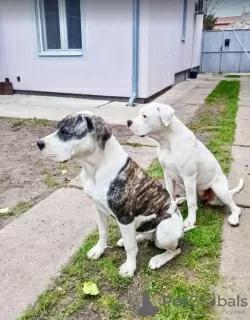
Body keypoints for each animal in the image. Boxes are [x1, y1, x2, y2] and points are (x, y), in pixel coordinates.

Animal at [37, 111, 190, 276]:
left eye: (65, 132)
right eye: (57, 128)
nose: (39, 143)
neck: (94, 169)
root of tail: (182, 231)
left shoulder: (124, 217)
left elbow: (131, 247)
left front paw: (130, 267)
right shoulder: (98, 209)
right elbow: (103, 232)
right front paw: (99, 250)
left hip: (164, 230)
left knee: (174, 250)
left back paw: (158, 259)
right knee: (142, 237)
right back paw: (131, 239)